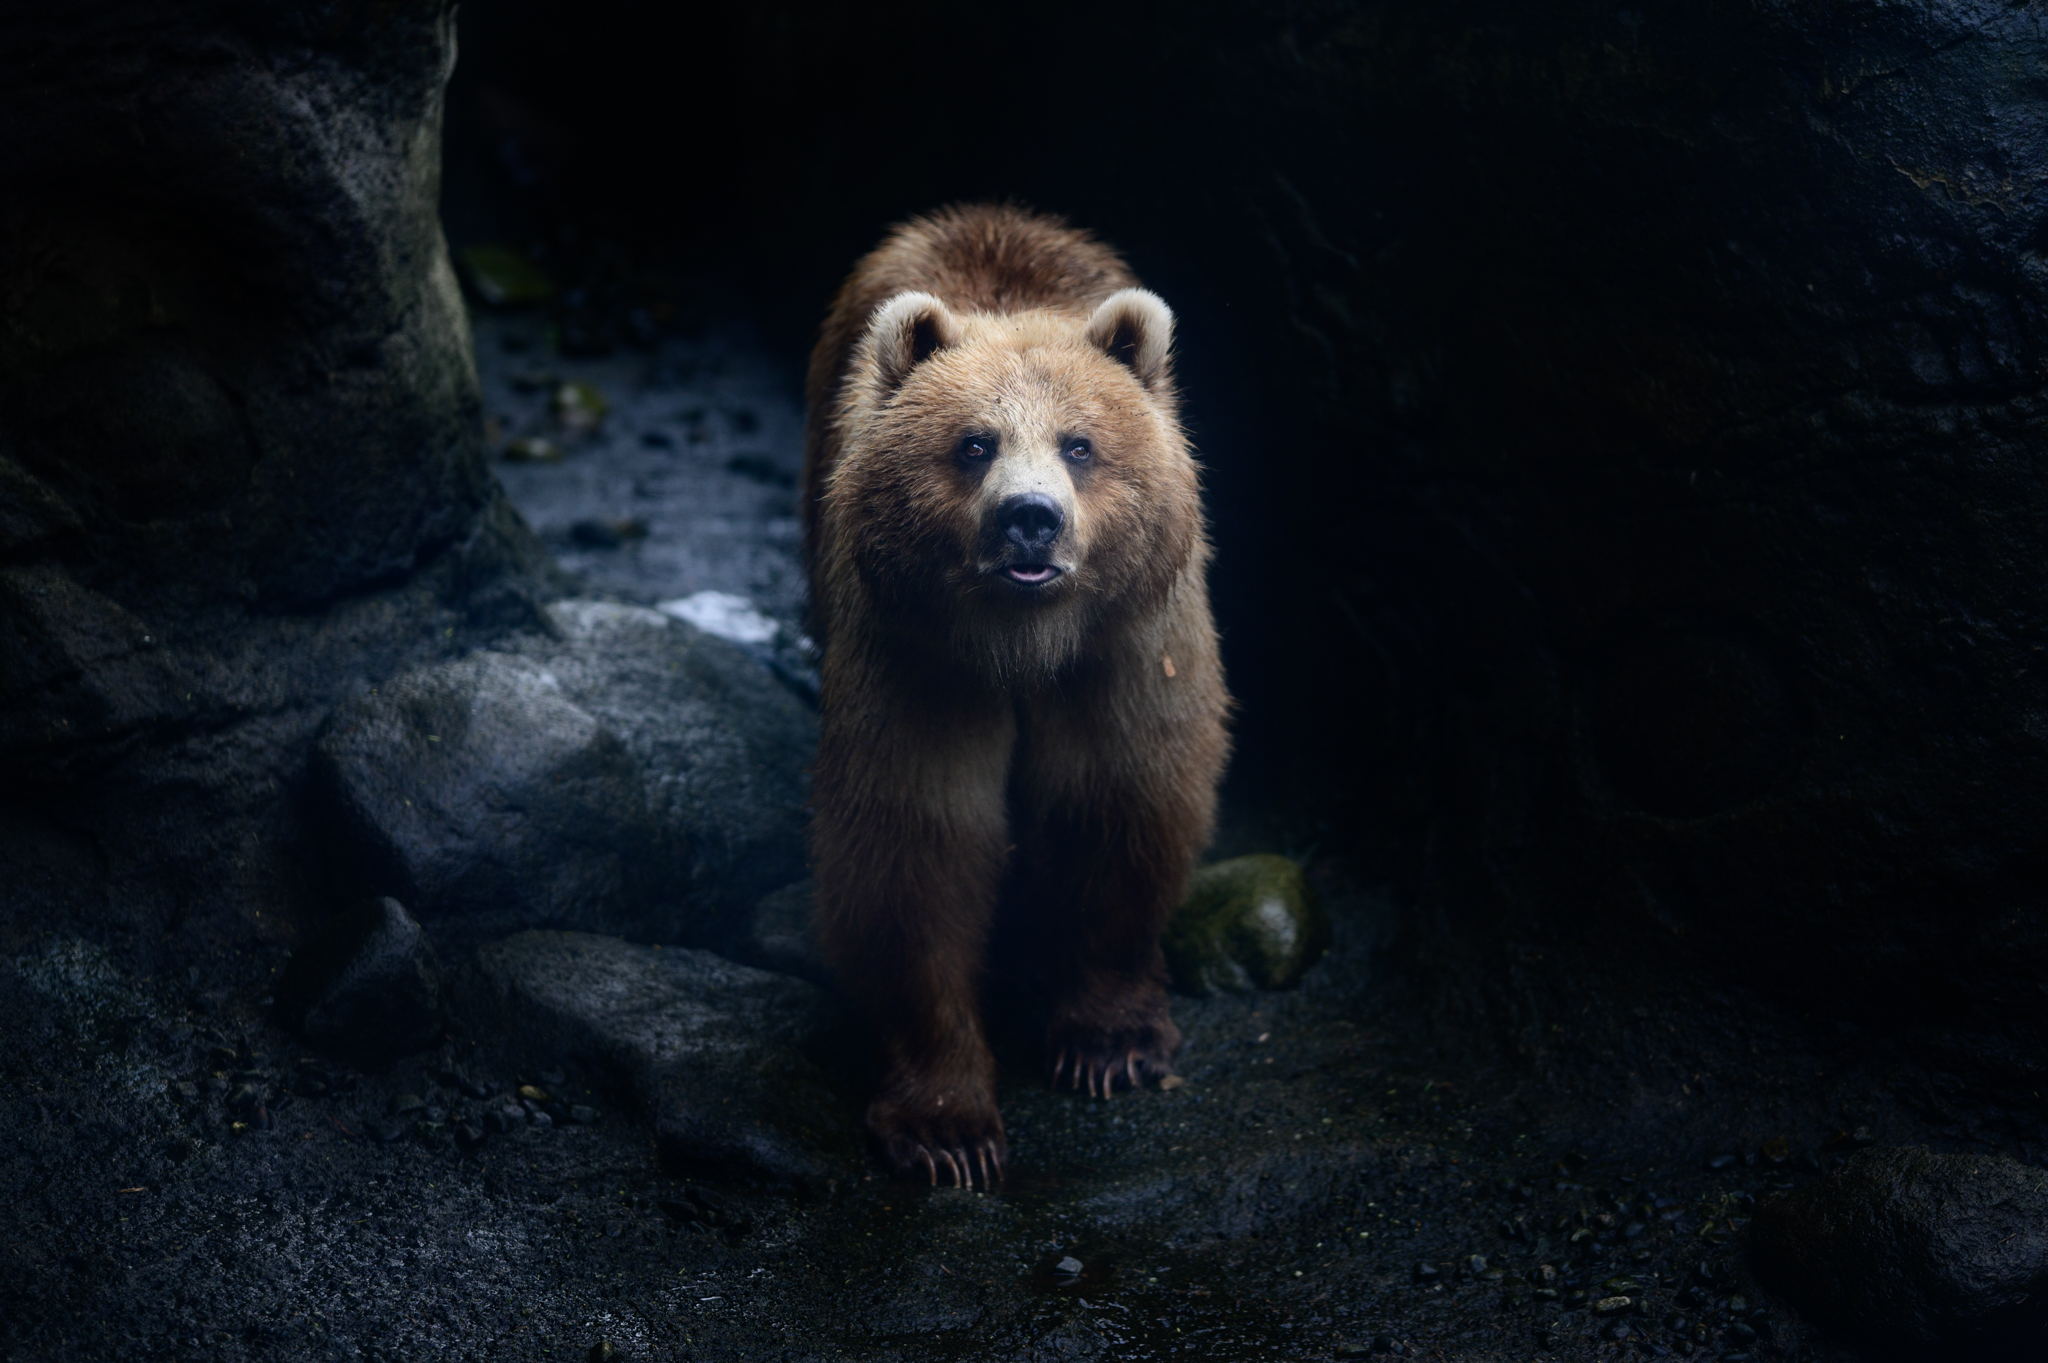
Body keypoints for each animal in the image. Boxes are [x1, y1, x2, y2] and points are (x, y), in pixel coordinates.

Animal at [803, 204, 1230, 1189]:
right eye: (973, 444)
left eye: (1080, 443)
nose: (1029, 517)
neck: (1026, 646)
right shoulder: (918, 658)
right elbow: (915, 845)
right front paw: (947, 1129)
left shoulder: (1124, 649)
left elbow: (1118, 800)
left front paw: (1110, 1043)